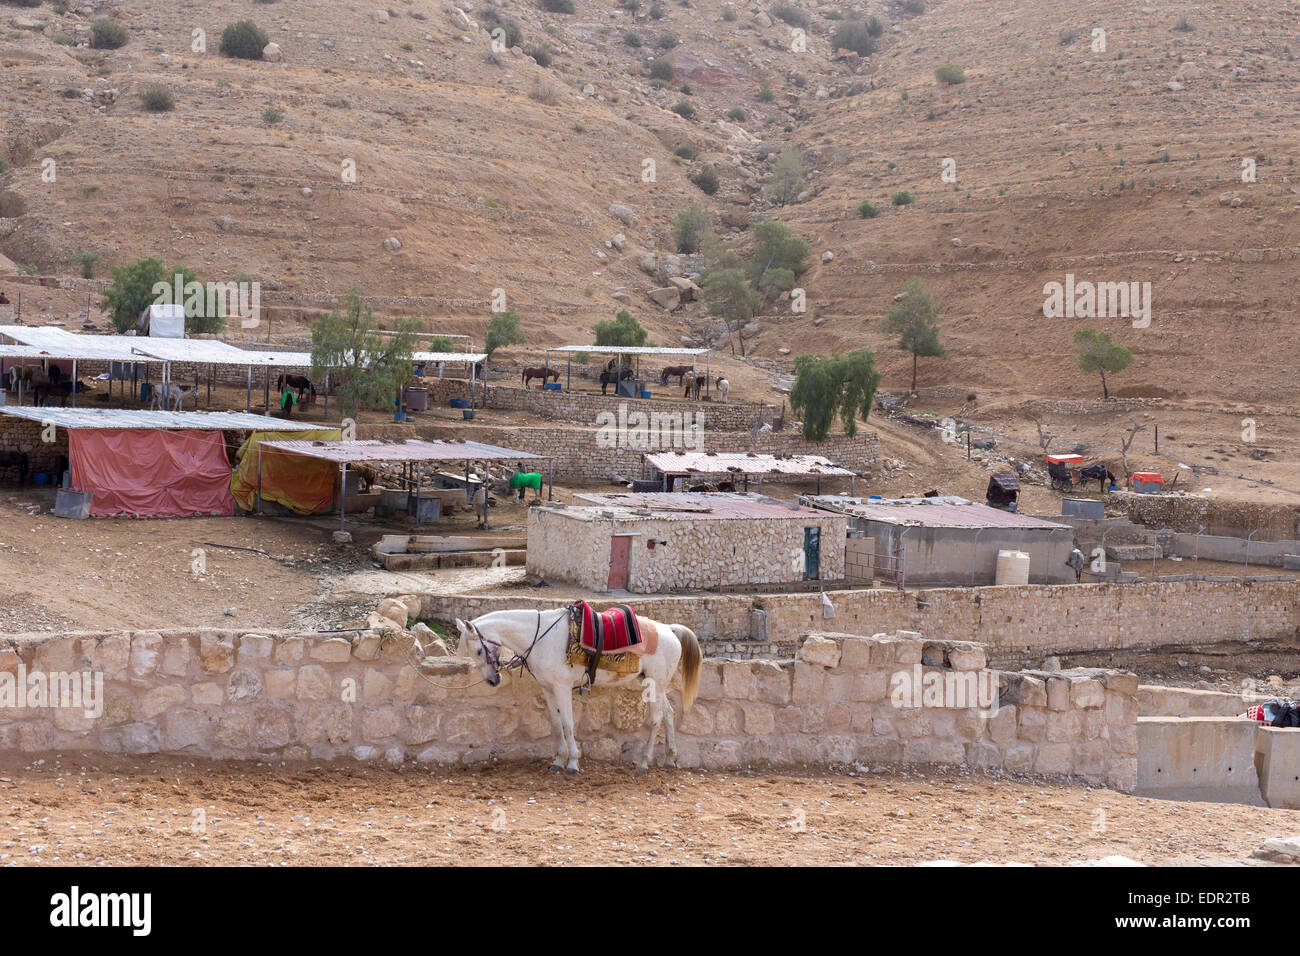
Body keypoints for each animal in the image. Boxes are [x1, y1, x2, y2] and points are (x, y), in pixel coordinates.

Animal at [457, 613, 702, 780]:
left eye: (478, 651)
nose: (492, 681)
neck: (542, 639)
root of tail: (669, 629)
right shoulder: (548, 689)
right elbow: (556, 724)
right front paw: (558, 761)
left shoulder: (562, 688)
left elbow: (568, 724)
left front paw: (573, 763)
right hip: (654, 685)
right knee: (669, 714)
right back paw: (669, 759)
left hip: (656, 683)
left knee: (656, 719)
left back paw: (643, 762)